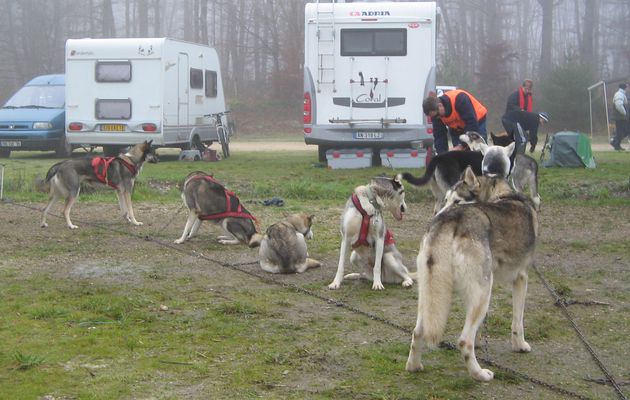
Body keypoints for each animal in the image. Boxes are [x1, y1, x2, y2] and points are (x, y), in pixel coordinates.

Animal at [408, 168, 540, 382]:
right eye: (446, 199)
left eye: (456, 200)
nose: (436, 214)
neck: (502, 195)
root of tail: (447, 220)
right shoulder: (521, 278)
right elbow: (517, 320)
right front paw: (520, 346)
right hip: (484, 292)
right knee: (464, 341)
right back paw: (480, 374)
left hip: (429, 294)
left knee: (418, 331)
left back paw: (414, 366)